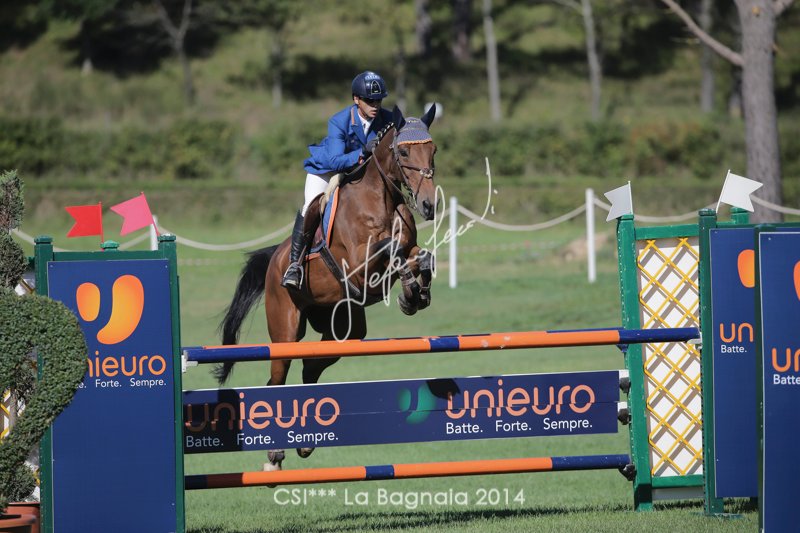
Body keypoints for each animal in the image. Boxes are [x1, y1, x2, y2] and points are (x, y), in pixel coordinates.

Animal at [214, 105, 438, 471]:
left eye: (434, 151)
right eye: (403, 152)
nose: (430, 206)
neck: (382, 198)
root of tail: (275, 260)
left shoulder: (403, 253)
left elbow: (424, 256)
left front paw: (417, 296)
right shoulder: (360, 265)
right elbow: (391, 249)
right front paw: (409, 293)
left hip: (344, 331)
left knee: (310, 368)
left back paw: (305, 442)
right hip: (285, 329)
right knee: (277, 378)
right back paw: (274, 456)